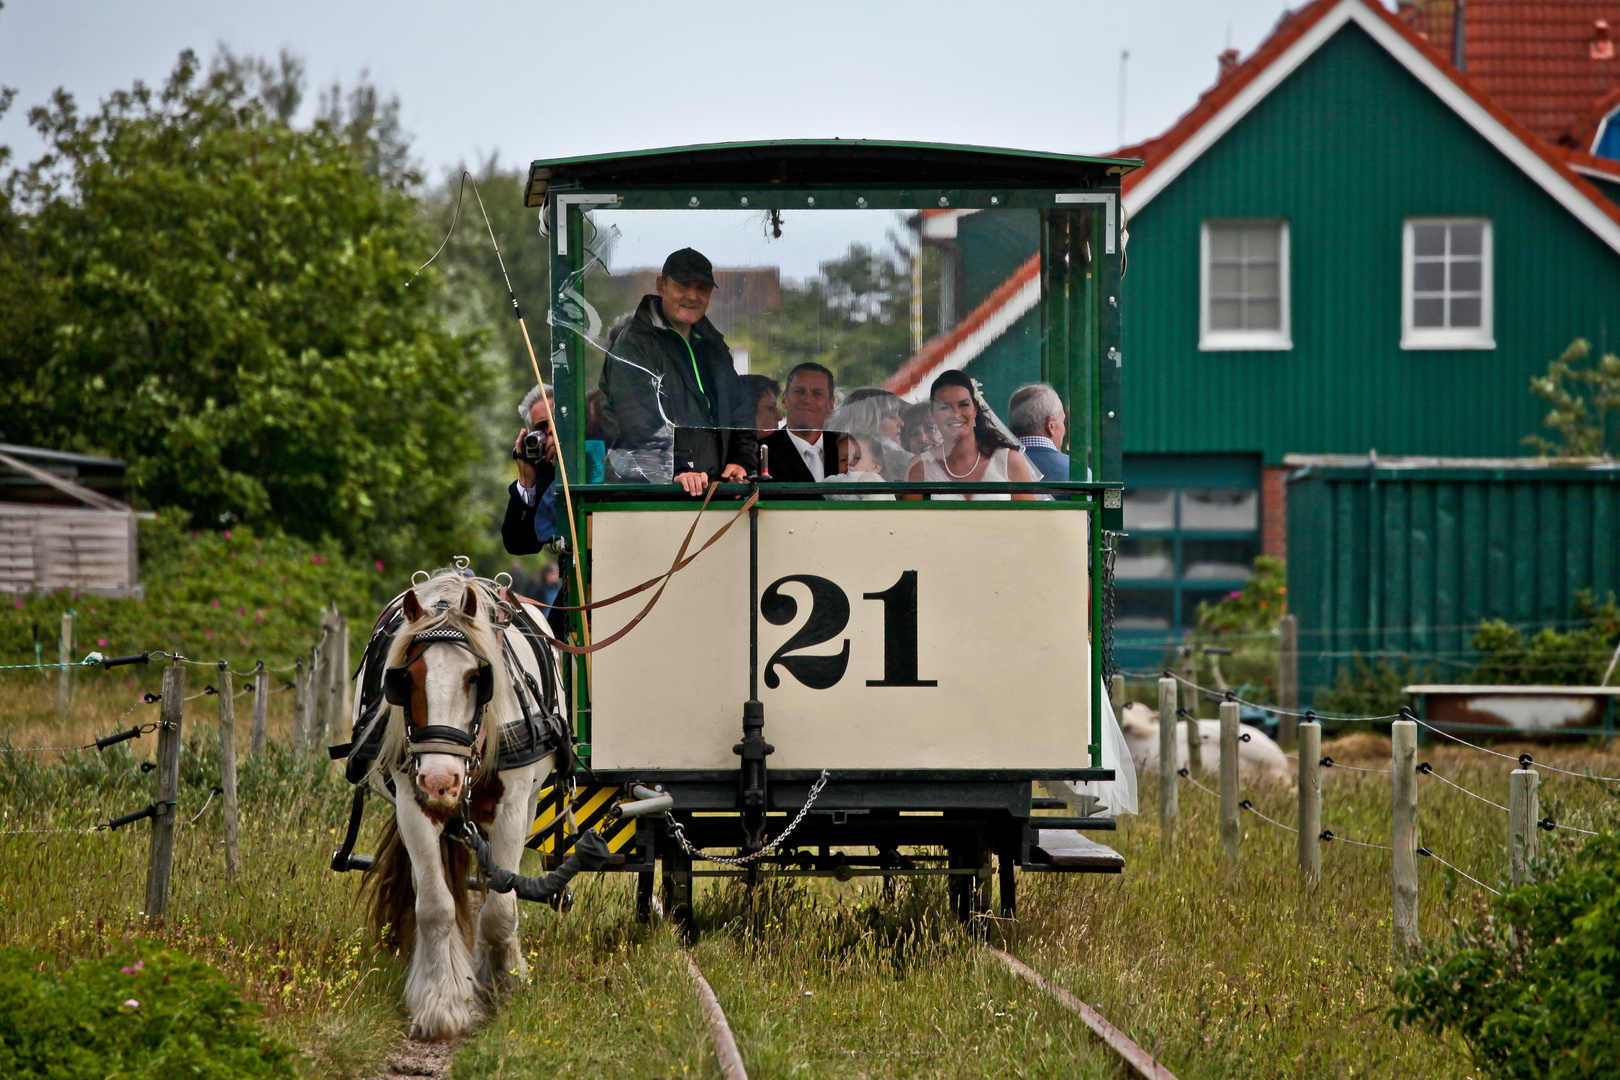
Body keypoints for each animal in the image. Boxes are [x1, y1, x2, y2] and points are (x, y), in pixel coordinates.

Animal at [351, 569, 567, 1042]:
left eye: (475, 678)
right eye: (405, 679)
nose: (440, 781)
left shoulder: (512, 807)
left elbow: (500, 909)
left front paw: (502, 983)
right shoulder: (413, 805)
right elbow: (436, 907)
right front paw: (441, 1003)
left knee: (495, 888)